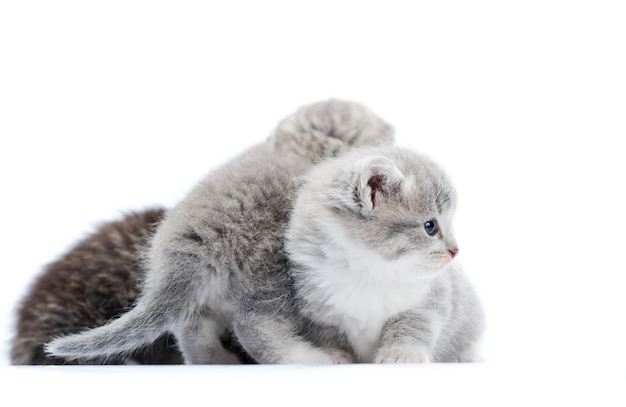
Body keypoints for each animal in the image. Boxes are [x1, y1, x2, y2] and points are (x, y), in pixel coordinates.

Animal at [45, 100, 394, 364]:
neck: (299, 147)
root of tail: (193, 238)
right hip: (273, 277)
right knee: (254, 328)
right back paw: (316, 358)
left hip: (202, 298)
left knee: (190, 327)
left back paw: (215, 360)